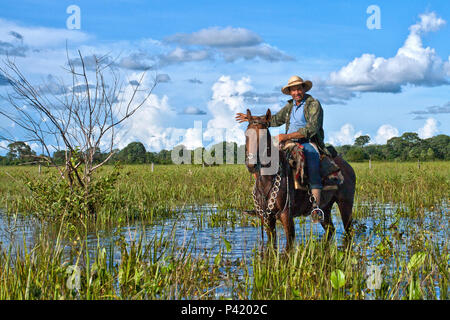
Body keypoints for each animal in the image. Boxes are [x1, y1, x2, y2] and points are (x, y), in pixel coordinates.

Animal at [244, 109, 356, 249]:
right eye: (246, 135)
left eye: (264, 136)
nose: (251, 165)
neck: (267, 181)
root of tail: (348, 167)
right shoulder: (267, 219)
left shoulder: (286, 216)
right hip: (325, 208)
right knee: (330, 230)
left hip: (345, 204)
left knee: (349, 231)